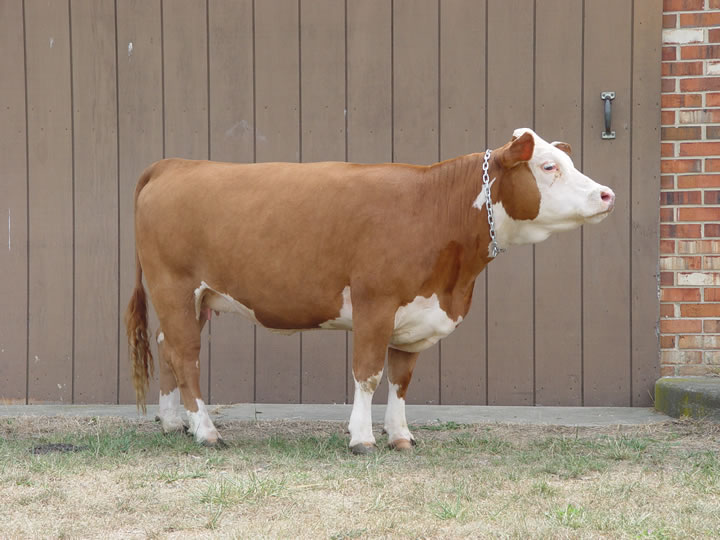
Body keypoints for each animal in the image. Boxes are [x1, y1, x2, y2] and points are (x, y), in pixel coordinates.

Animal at [125, 128, 615, 453]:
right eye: (548, 166)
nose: (607, 194)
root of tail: (175, 165)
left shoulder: (415, 313)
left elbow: (400, 379)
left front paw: (400, 435)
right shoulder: (374, 303)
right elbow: (368, 373)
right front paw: (360, 438)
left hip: (197, 301)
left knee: (167, 346)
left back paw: (173, 423)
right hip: (175, 286)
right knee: (186, 356)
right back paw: (205, 431)